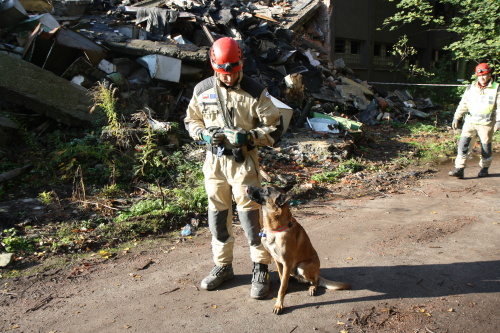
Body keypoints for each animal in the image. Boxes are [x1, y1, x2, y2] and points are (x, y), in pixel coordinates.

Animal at [247, 184, 352, 314]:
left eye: (265, 190)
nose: (248, 186)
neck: (276, 229)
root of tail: (318, 272)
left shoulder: (287, 262)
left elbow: (281, 288)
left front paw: (279, 304)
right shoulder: (278, 261)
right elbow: (282, 278)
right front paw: (283, 286)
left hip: (302, 267)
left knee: (315, 281)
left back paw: (312, 287)